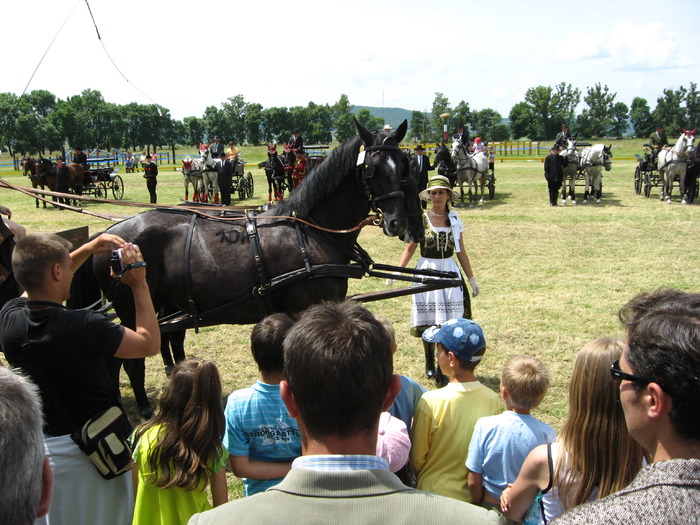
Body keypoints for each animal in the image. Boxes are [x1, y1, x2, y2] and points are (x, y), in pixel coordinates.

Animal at [69, 121, 422, 412]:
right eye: (371, 170)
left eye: (403, 167)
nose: (397, 223)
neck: (309, 230)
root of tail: (108, 235)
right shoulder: (304, 308)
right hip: (131, 309)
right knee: (128, 362)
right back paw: (141, 407)